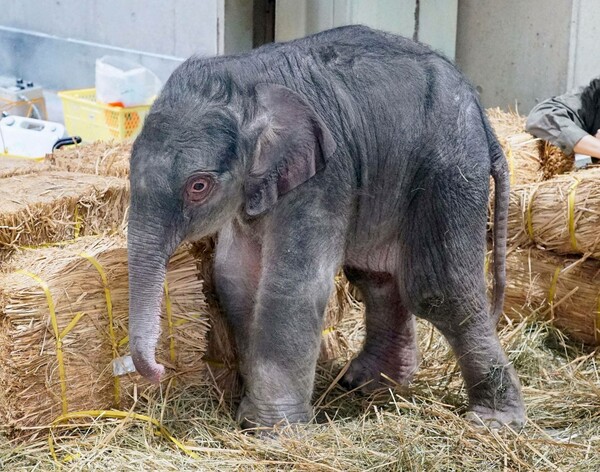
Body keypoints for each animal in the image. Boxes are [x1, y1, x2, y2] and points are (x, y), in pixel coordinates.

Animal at [127, 25, 524, 432]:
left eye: (198, 186)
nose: (158, 370)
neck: (247, 80)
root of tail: (483, 119)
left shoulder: (323, 178)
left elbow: (291, 286)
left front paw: (272, 431)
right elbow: (234, 277)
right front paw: (252, 416)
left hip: (450, 170)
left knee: (439, 290)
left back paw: (493, 421)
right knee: (377, 278)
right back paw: (368, 384)